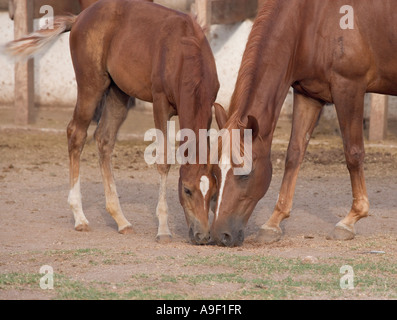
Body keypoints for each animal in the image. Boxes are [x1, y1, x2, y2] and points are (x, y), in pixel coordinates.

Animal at [5, 0, 217, 244]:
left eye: (213, 192)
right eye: (187, 190)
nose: (203, 235)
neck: (183, 51)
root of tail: (79, 18)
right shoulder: (160, 103)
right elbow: (164, 161)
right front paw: (163, 229)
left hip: (118, 92)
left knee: (104, 138)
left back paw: (121, 220)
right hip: (92, 85)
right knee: (76, 133)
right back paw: (80, 218)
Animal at [209, 0, 394, 248]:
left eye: (246, 173)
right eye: (215, 172)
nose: (221, 235)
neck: (311, 17)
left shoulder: (349, 87)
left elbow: (353, 153)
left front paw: (350, 220)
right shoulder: (308, 94)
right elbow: (294, 154)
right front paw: (273, 223)